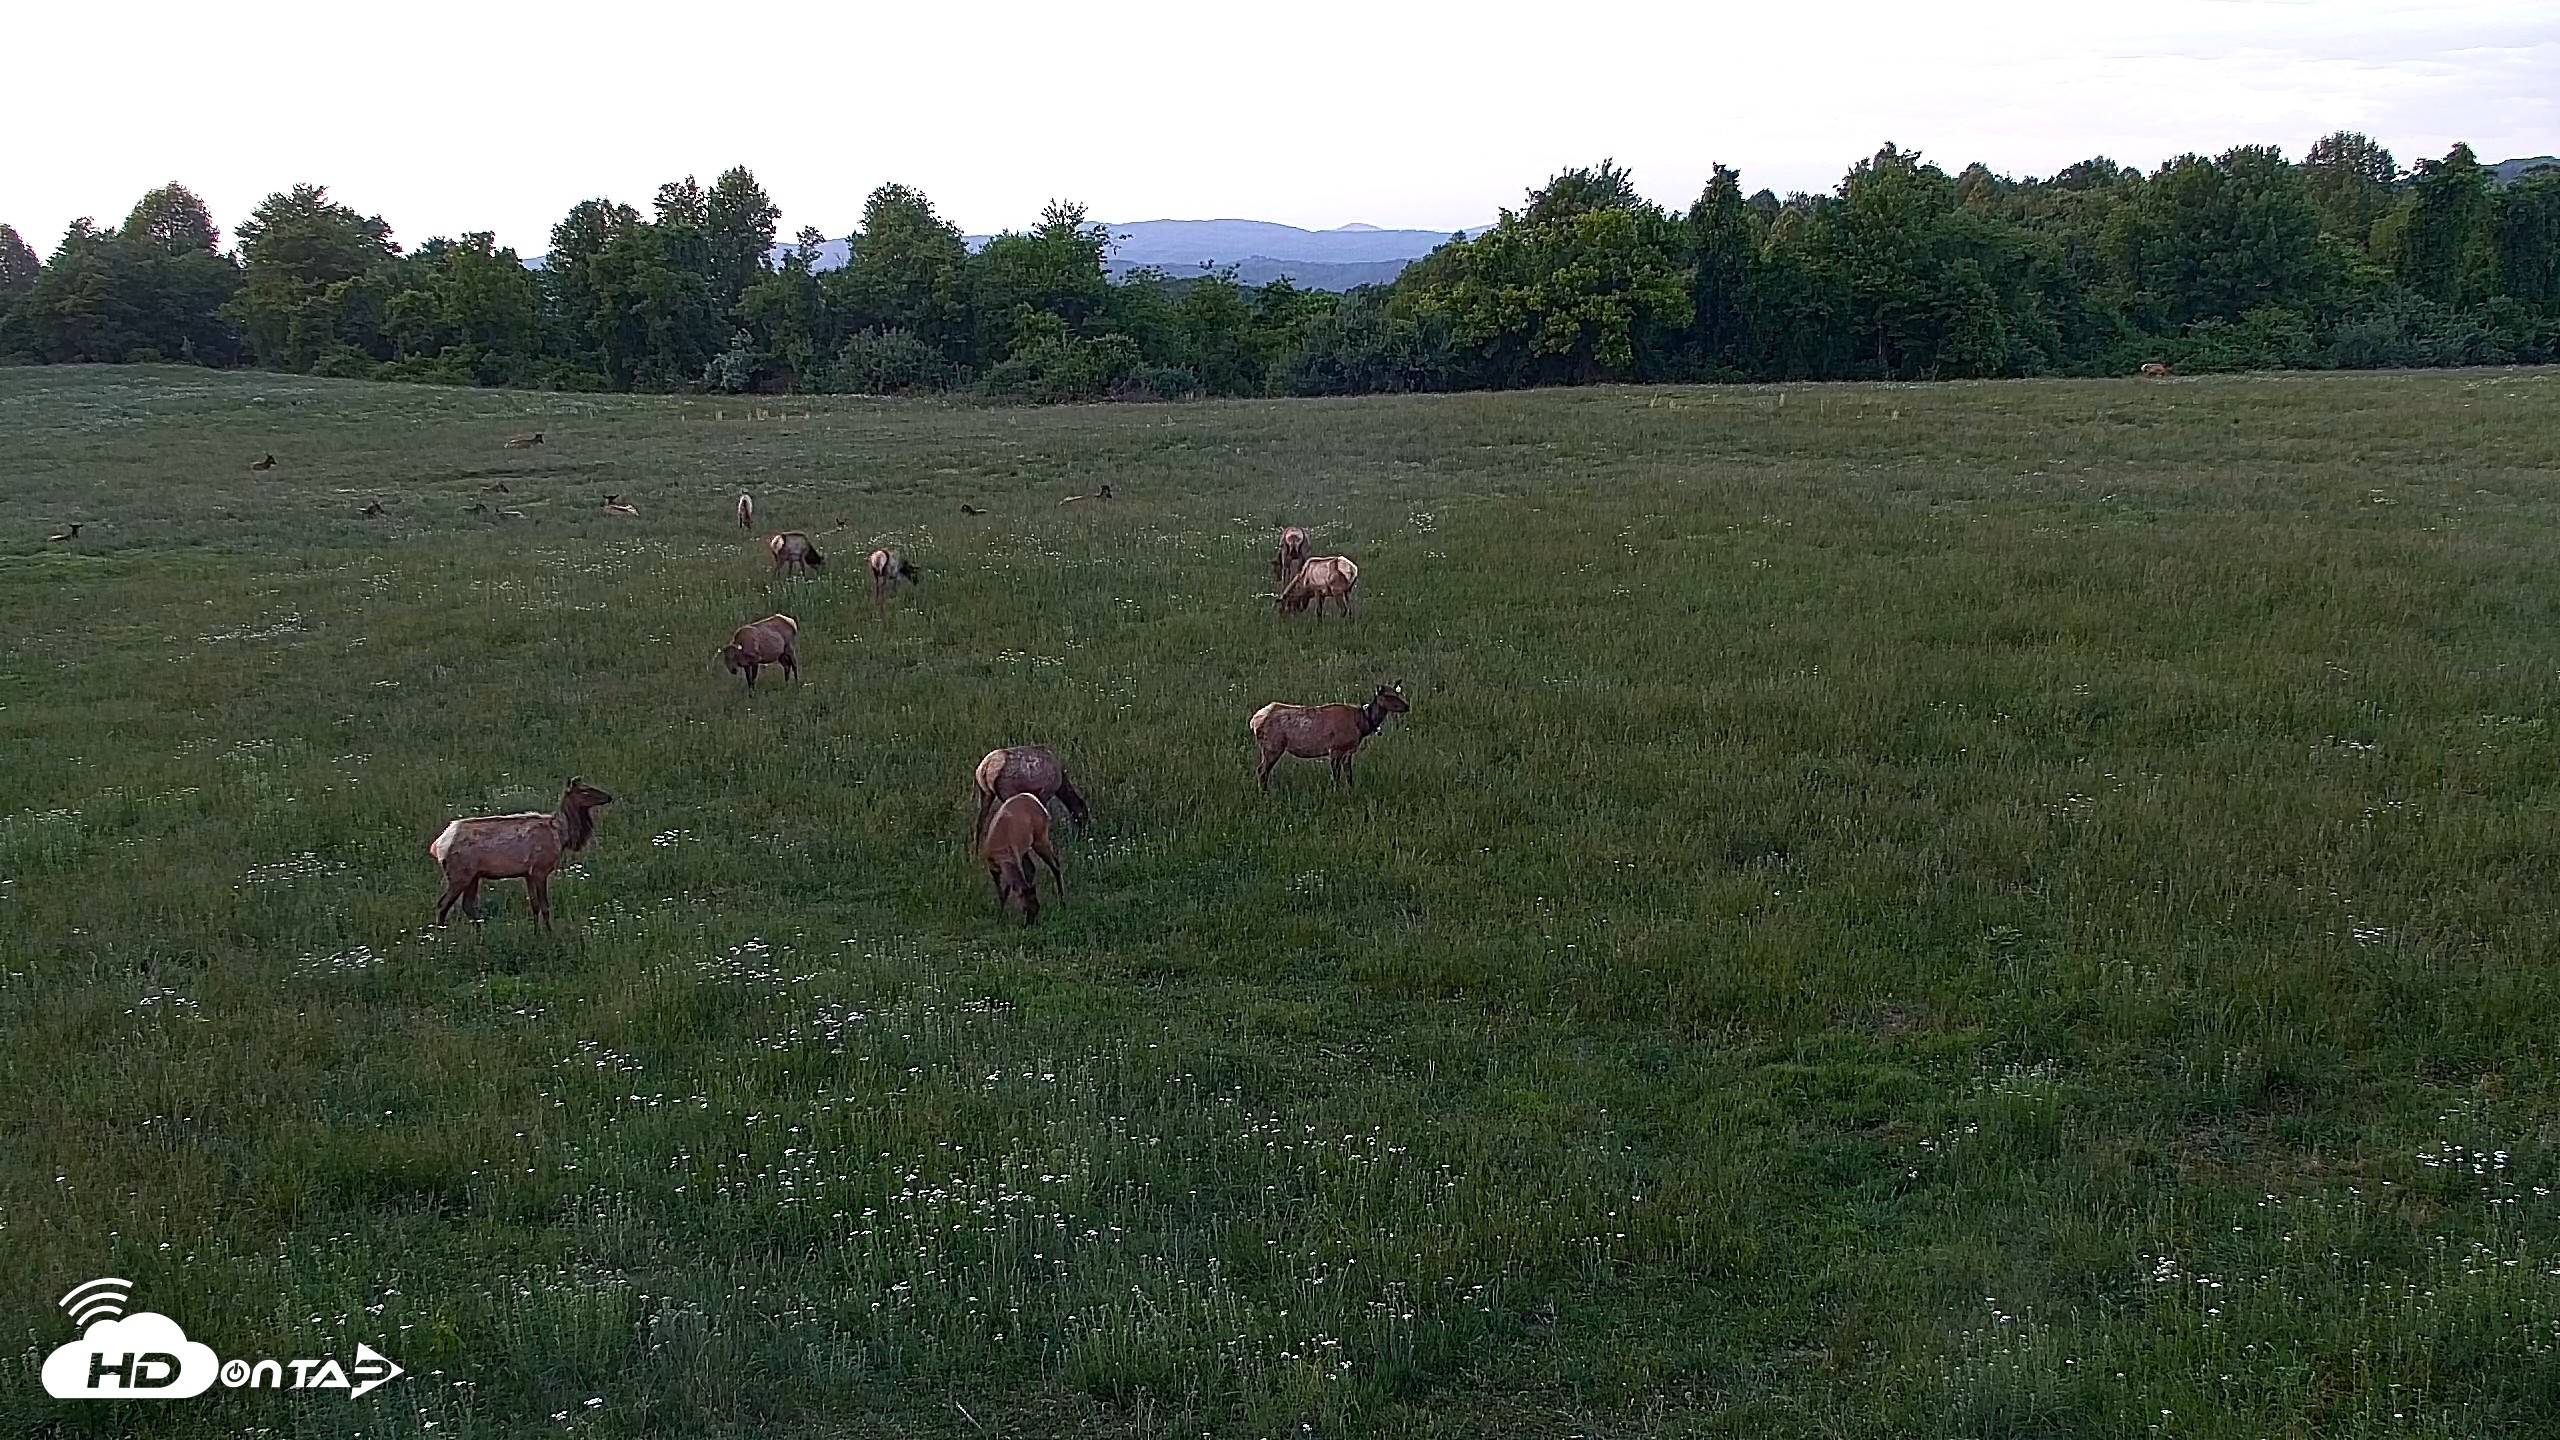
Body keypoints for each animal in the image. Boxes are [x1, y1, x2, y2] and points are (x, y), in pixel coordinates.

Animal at [429, 777, 614, 929]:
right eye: (584, 790)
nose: (609, 796)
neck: (562, 835)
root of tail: (438, 845)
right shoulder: (540, 870)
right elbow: (545, 907)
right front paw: (549, 934)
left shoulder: (528, 873)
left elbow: (535, 906)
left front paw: (537, 933)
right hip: (459, 874)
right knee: (443, 904)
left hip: (473, 876)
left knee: (467, 905)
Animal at [979, 793, 1064, 924]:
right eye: (1025, 908)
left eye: (1037, 908)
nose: (1030, 924)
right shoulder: (993, 866)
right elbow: (1001, 893)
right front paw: (1000, 916)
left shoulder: (1014, 858)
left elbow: (1006, 891)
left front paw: (1001, 916)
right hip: (1025, 847)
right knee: (1032, 867)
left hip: (1040, 837)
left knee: (1055, 864)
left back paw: (1062, 902)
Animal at [1249, 682, 1407, 791]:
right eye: (1388, 695)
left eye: (1398, 693)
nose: (1407, 706)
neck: (1362, 724)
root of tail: (1254, 721)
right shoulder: (1335, 748)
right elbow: (1336, 776)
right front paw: (1336, 792)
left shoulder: (1348, 750)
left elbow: (1349, 774)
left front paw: (1351, 790)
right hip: (1272, 746)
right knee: (1262, 770)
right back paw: (1264, 793)